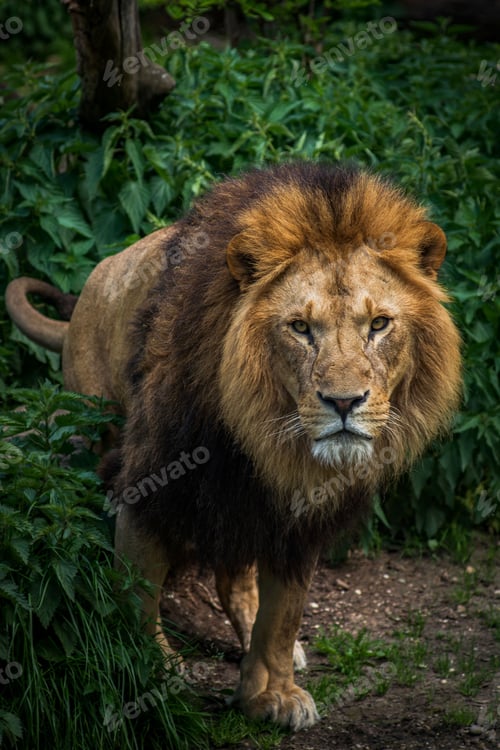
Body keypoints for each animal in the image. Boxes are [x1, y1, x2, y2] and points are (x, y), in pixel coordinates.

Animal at [6, 162, 462, 731]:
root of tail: (86, 294)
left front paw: (272, 692)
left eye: (379, 324)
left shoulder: (299, 516)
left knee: (236, 580)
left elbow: (282, 615)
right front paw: (151, 676)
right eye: (299, 327)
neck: (262, 434)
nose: (343, 402)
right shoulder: (150, 482)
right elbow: (136, 593)